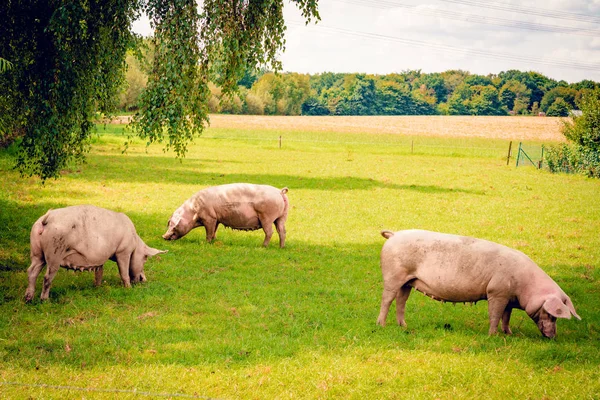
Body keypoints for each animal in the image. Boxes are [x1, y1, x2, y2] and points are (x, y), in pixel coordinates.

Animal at [24, 205, 166, 302]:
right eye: (145, 258)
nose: (144, 280)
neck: (134, 241)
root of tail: (47, 217)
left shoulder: (99, 259)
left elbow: (99, 272)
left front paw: (97, 287)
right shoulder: (123, 251)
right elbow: (124, 272)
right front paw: (128, 288)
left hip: (36, 252)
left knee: (32, 271)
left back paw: (28, 299)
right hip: (55, 252)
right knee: (47, 277)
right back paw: (45, 300)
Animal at [378, 228, 580, 338]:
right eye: (551, 314)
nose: (553, 337)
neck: (525, 286)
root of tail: (394, 235)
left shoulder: (508, 298)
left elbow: (506, 317)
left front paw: (509, 334)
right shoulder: (496, 292)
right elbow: (495, 315)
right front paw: (493, 335)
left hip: (408, 281)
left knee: (401, 301)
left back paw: (404, 326)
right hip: (393, 275)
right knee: (387, 299)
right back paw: (381, 325)